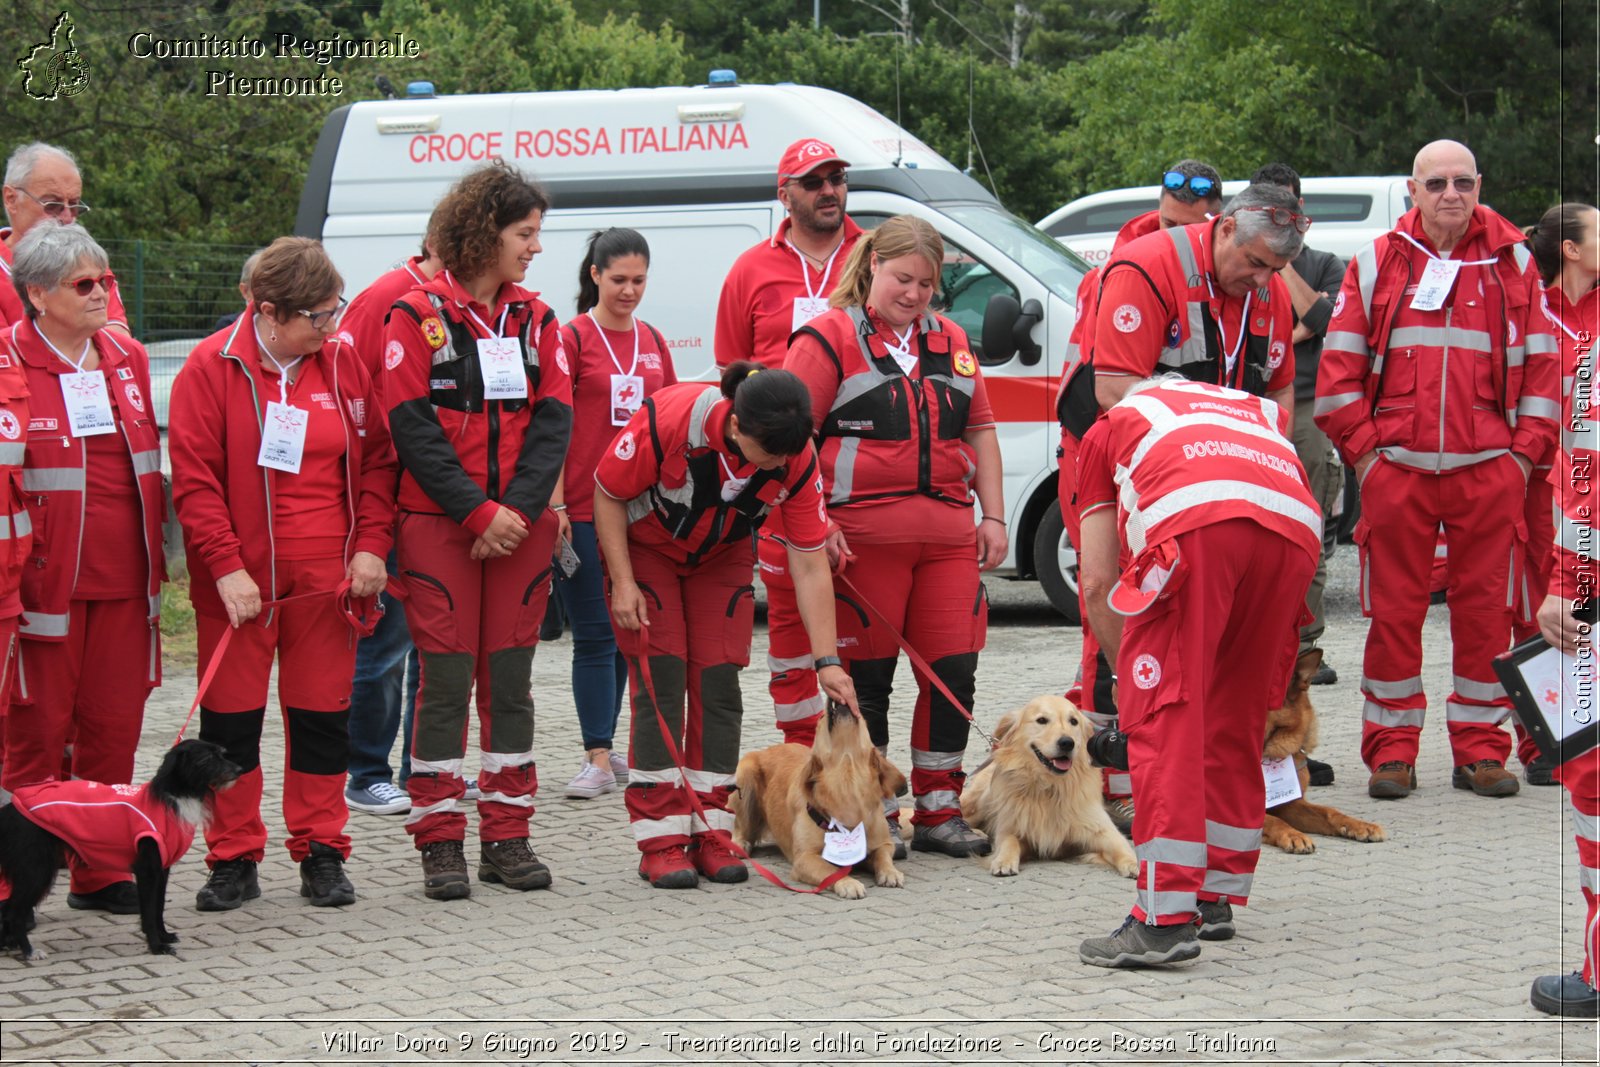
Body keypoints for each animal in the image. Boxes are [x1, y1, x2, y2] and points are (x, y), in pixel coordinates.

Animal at [0, 739, 238, 966]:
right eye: (207, 759)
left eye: (222, 754)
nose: (239, 769)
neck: (171, 797)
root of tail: (9, 811)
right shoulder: (147, 870)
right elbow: (149, 910)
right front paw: (156, 946)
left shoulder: (162, 870)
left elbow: (159, 906)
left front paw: (164, 936)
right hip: (36, 870)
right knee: (15, 912)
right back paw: (29, 951)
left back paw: (9, 944)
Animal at [732, 700, 908, 902]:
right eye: (822, 717)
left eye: (862, 716)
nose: (836, 700)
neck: (847, 782)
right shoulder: (805, 858)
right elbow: (830, 870)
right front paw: (848, 883)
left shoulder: (883, 843)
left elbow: (883, 856)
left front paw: (890, 872)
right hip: (745, 773)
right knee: (740, 826)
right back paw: (740, 844)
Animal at [960, 697, 1139, 883]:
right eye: (1042, 720)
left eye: (1073, 721)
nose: (1067, 743)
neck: (1050, 788)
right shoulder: (1011, 827)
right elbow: (1008, 842)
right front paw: (1003, 861)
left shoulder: (1102, 830)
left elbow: (1122, 848)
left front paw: (1135, 865)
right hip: (981, 802)